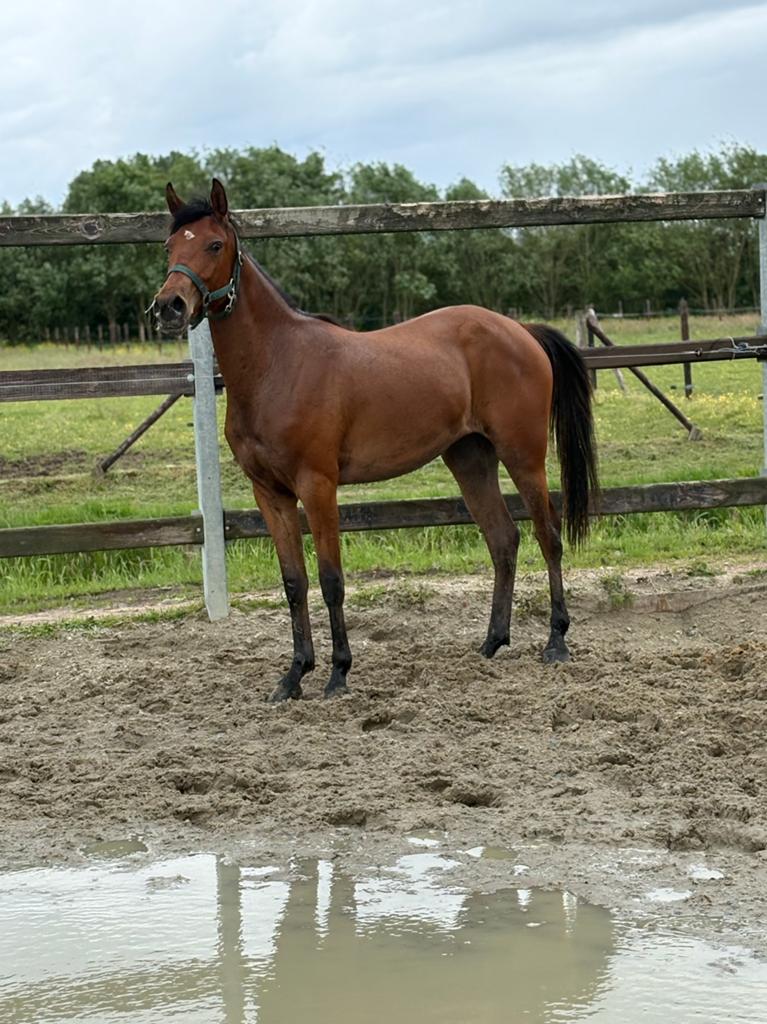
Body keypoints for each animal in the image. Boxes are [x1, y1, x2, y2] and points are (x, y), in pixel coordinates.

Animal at [153, 179, 598, 702]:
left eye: (214, 245)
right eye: (169, 246)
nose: (169, 307)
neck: (277, 365)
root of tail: (520, 330)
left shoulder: (317, 486)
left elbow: (331, 580)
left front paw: (337, 673)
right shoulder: (271, 494)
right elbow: (293, 582)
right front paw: (293, 676)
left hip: (523, 456)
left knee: (548, 537)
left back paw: (556, 642)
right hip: (470, 460)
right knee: (503, 539)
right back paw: (492, 643)